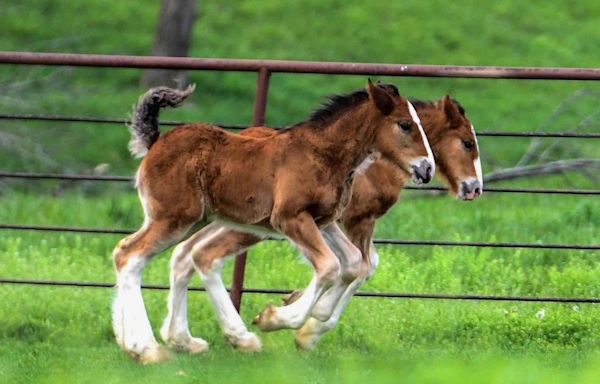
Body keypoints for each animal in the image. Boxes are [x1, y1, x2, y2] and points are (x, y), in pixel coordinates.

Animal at [112, 81, 434, 364]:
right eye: (405, 124)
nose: (427, 168)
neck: (324, 154)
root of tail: (155, 142)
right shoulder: (290, 218)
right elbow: (330, 267)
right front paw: (276, 319)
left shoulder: (324, 221)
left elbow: (354, 262)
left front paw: (316, 316)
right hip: (173, 218)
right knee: (131, 256)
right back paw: (146, 348)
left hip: (195, 221)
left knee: (154, 255)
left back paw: (168, 342)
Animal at [161, 90, 482, 354]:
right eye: (467, 143)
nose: (475, 188)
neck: (376, 166)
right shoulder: (358, 221)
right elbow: (360, 266)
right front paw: (307, 324)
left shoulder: (335, 223)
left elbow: (358, 265)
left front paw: (301, 312)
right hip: (248, 228)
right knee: (199, 254)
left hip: (228, 221)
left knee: (185, 253)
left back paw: (180, 335)